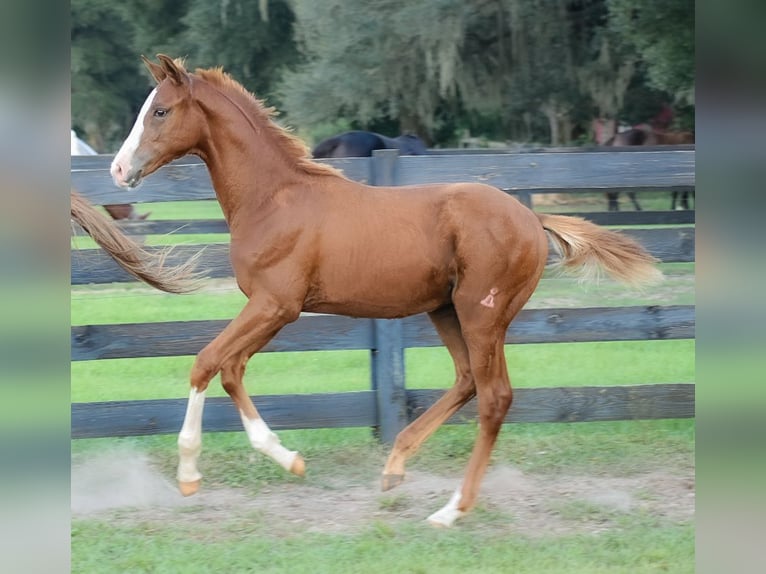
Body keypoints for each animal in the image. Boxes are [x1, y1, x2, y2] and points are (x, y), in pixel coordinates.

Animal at [108, 55, 664, 532]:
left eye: (160, 110)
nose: (118, 169)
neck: (275, 200)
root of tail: (532, 217)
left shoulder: (276, 305)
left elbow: (206, 362)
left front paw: (189, 476)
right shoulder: (272, 309)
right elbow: (231, 370)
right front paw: (290, 459)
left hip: (482, 315)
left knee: (494, 398)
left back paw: (451, 510)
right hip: (447, 311)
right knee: (466, 380)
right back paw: (396, 465)